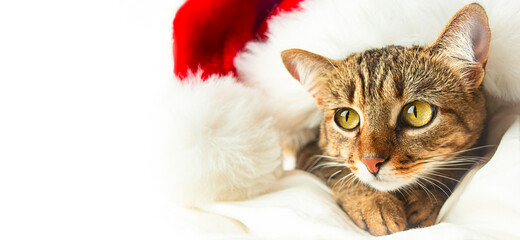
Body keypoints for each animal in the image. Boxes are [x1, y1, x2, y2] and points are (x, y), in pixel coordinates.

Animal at [282, 3, 490, 236]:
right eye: (346, 117)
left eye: (416, 112)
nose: (371, 162)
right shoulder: (310, 154)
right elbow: (339, 172)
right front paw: (373, 203)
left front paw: (426, 198)